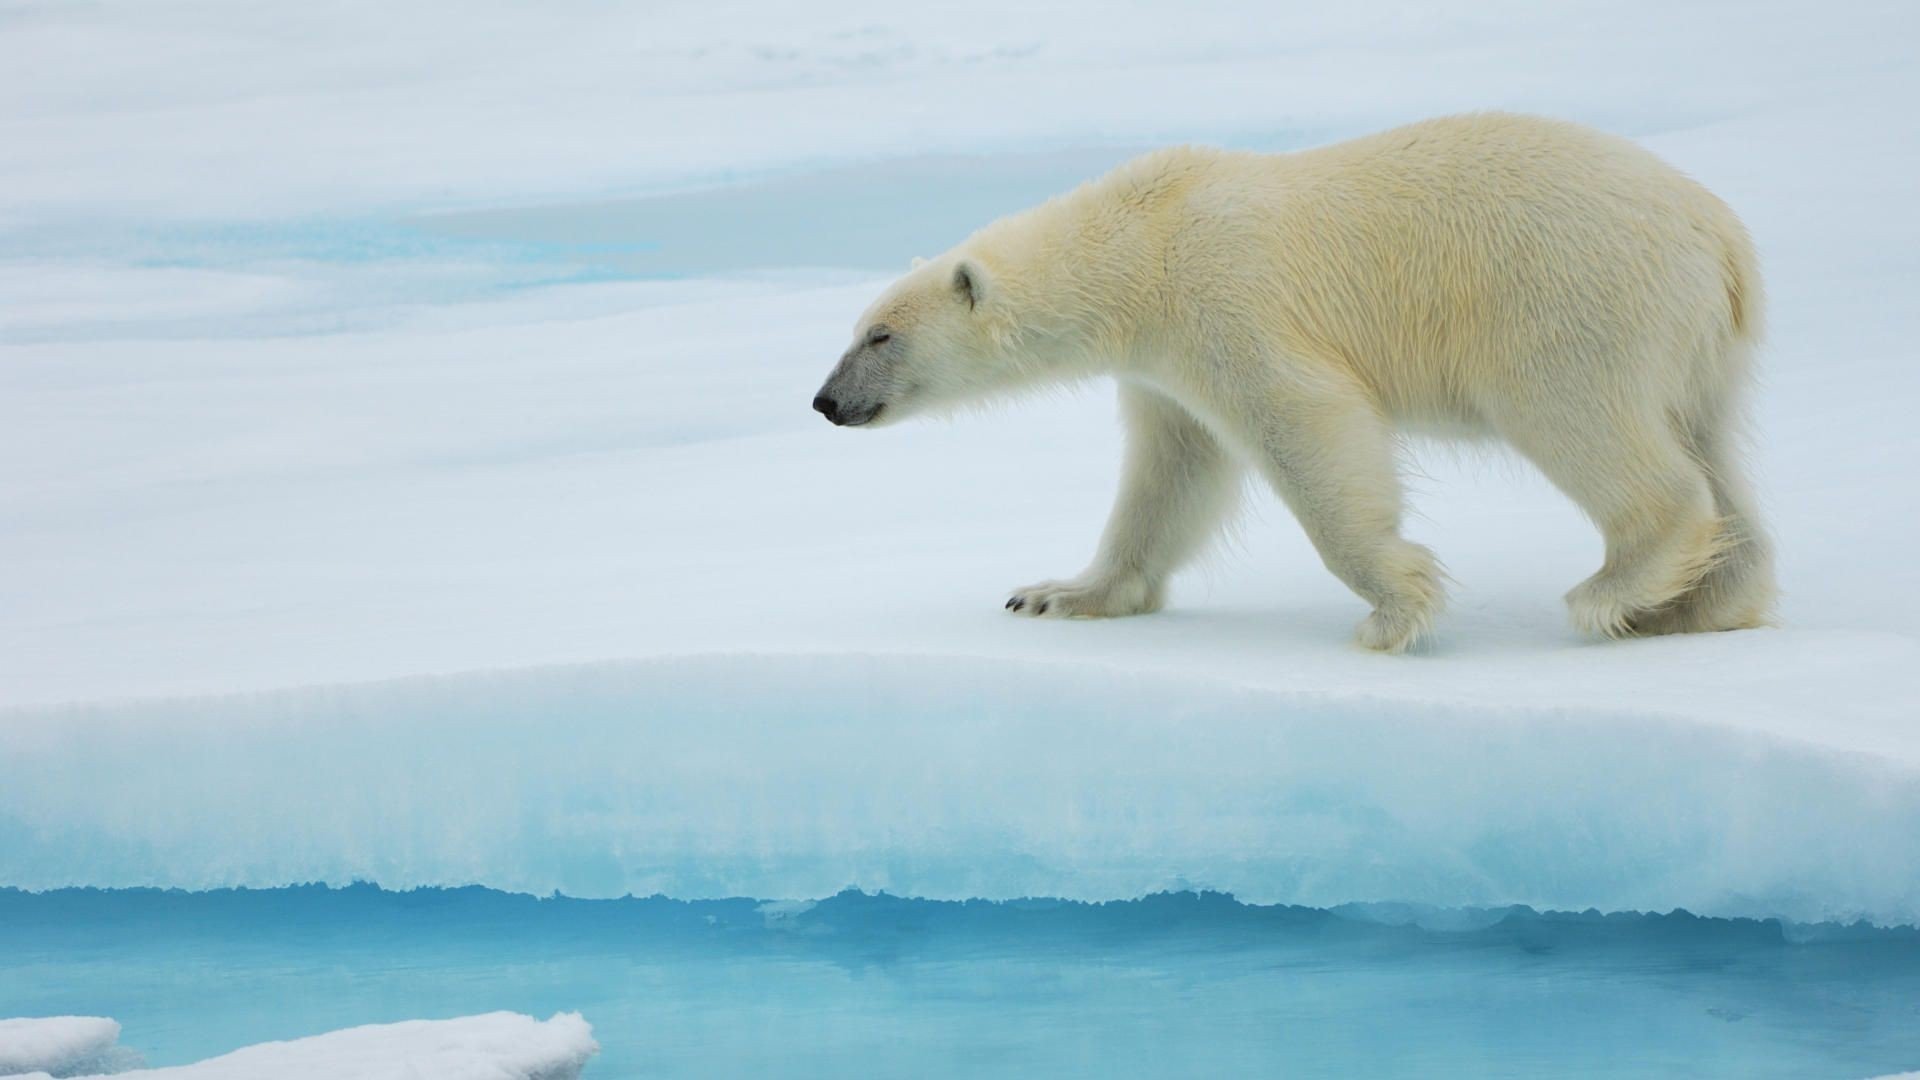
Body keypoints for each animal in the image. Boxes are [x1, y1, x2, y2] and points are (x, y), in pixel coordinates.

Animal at [812, 112, 1774, 652]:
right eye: (855, 330)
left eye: (881, 334)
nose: (825, 402)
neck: (1141, 242)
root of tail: (1721, 237)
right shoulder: (1163, 366)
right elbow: (1171, 474)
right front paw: (1056, 594)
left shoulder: (1226, 299)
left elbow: (1305, 424)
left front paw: (1396, 607)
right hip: (1698, 346)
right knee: (1713, 448)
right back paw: (1701, 603)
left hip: (1569, 301)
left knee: (1590, 427)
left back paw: (1615, 590)